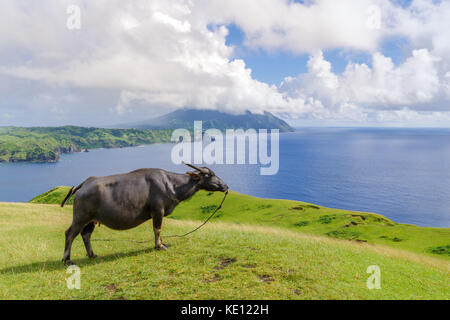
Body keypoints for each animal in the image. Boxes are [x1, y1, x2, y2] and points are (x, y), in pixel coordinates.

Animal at [60, 162, 229, 264]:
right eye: (209, 175)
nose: (225, 186)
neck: (171, 184)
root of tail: (84, 184)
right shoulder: (158, 211)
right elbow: (157, 229)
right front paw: (159, 246)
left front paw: (162, 243)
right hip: (80, 217)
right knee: (70, 233)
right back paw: (67, 260)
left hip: (91, 219)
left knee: (86, 234)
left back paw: (92, 254)